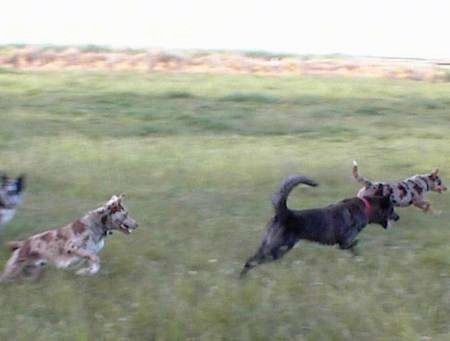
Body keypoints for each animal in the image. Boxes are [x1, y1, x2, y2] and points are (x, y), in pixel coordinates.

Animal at [0, 194, 137, 282]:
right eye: (126, 214)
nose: (137, 225)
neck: (97, 226)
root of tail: (22, 243)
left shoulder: (90, 252)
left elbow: (94, 263)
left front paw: (87, 272)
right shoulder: (72, 246)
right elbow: (96, 259)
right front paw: (86, 272)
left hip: (32, 270)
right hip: (14, 268)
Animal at [241, 174, 400, 274]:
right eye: (392, 209)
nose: (398, 217)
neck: (366, 206)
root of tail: (284, 213)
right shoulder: (345, 242)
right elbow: (354, 245)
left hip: (267, 244)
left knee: (251, 261)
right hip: (279, 247)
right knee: (255, 260)